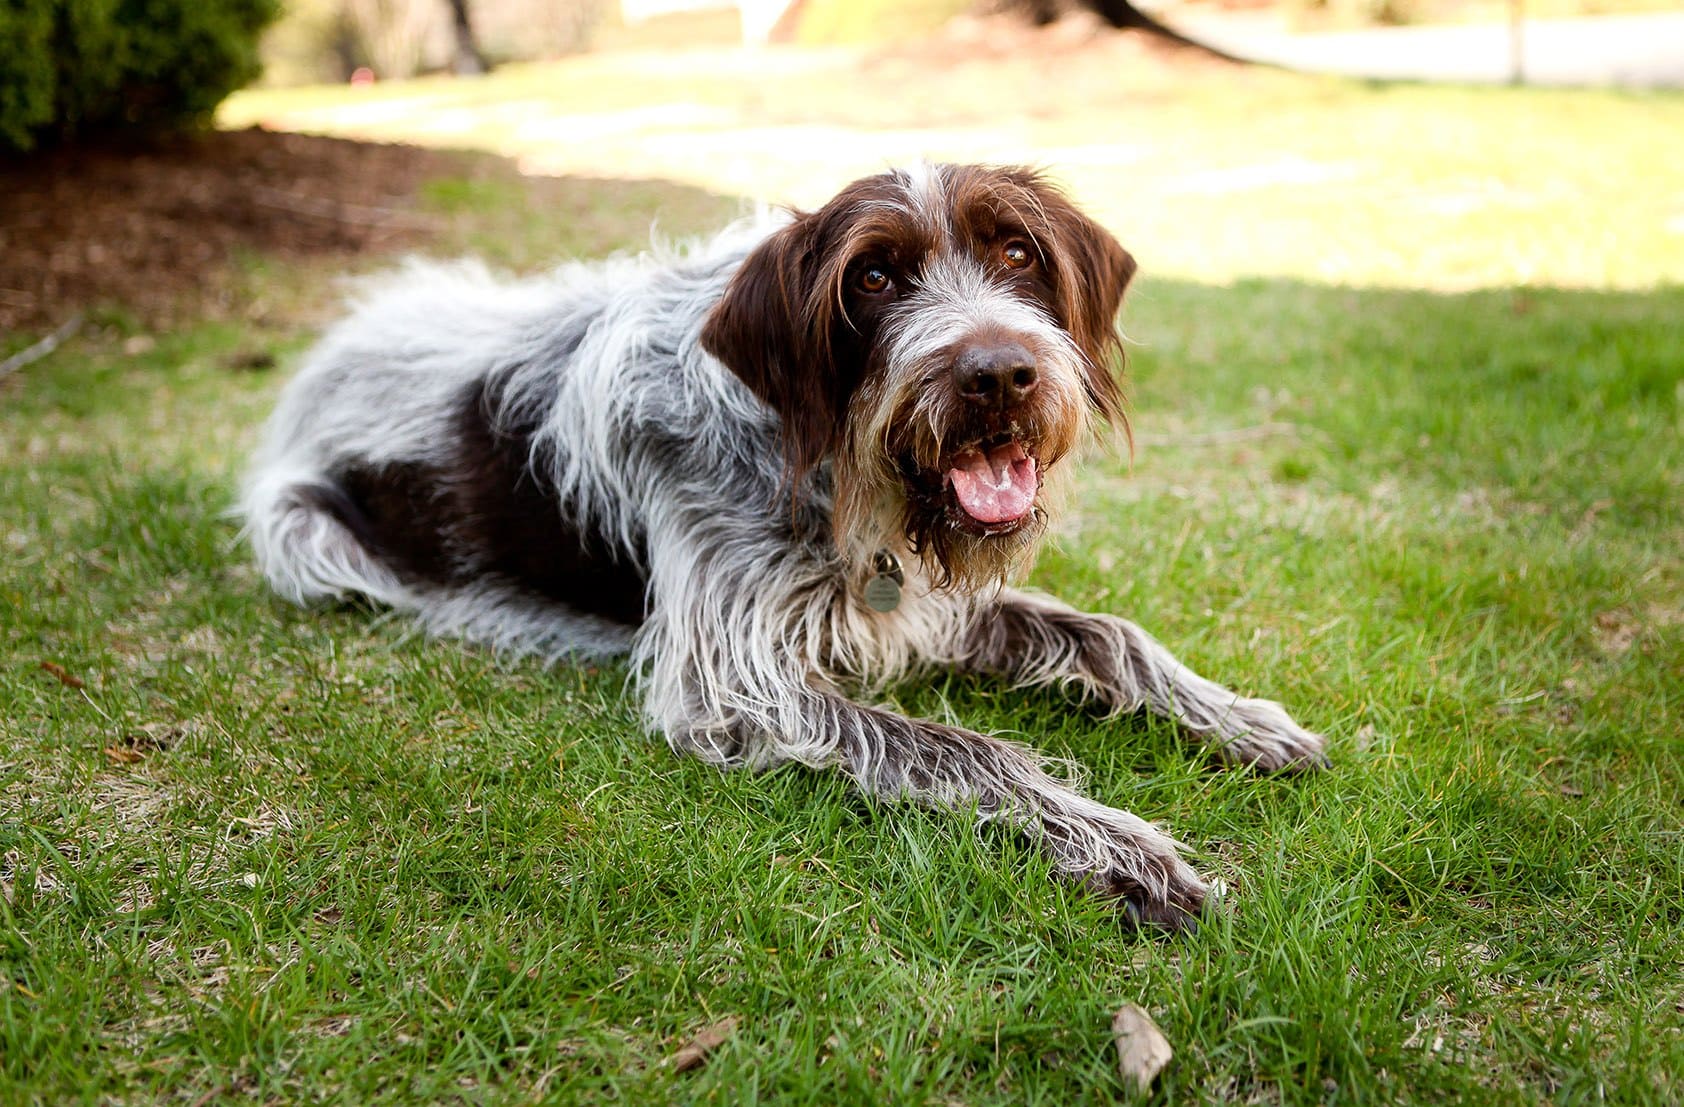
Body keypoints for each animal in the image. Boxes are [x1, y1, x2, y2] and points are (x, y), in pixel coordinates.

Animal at [240, 161, 1326, 923]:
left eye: (1018, 255)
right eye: (875, 276)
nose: (998, 374)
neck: (834, 477)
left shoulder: (918, 606)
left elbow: (1106, 634)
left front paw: (1240, 719)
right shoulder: (734, 682)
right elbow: (966, 751)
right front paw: (1124, 849)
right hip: (305, 535)